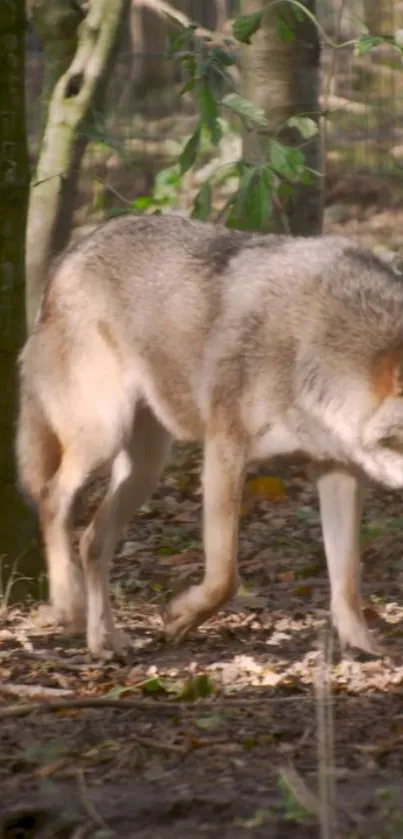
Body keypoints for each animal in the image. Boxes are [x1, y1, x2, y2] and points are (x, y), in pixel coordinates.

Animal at [15, 213, 403, 660]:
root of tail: (68, 255)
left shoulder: (337, 470)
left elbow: (347, 580)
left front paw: (366, 649)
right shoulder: (224, 449)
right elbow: (225, 576)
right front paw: (180, 616)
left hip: (145, 469)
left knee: (93, 540)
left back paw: (104, 642)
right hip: (102, 436)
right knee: (52, 498)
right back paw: (68, 604)